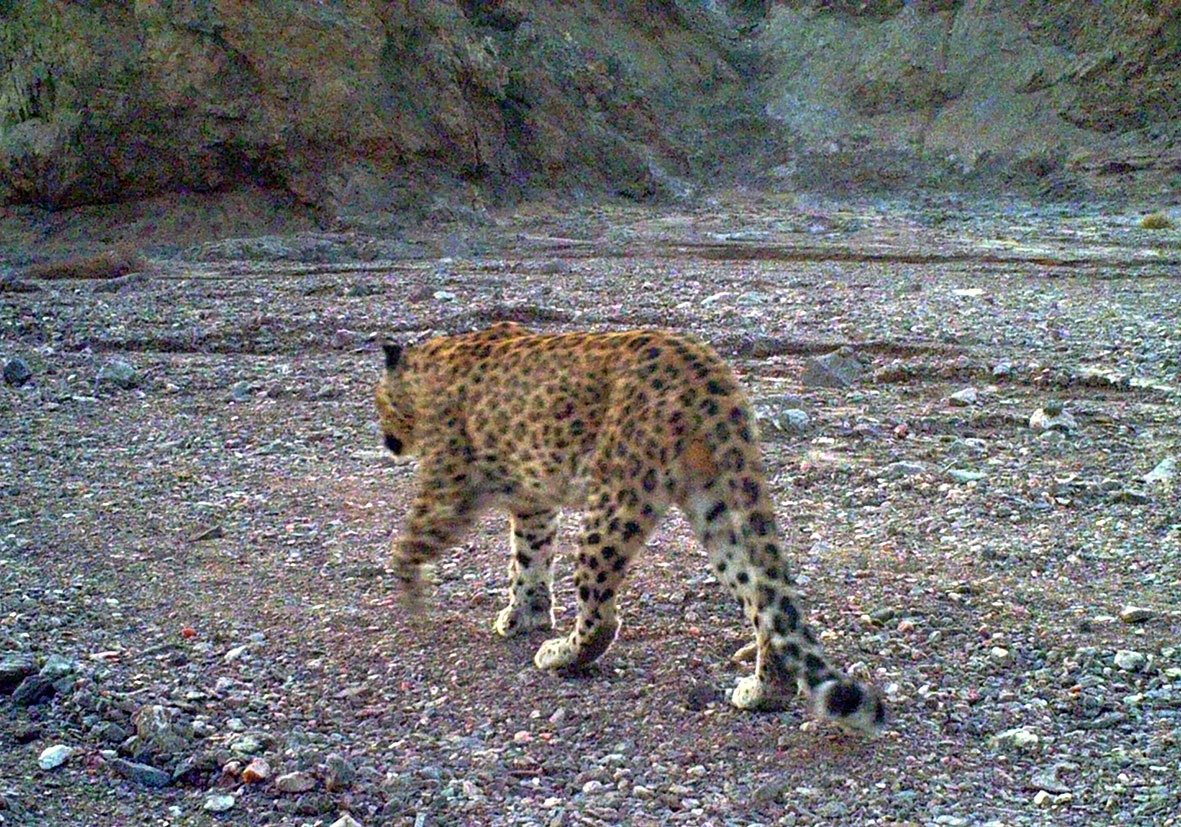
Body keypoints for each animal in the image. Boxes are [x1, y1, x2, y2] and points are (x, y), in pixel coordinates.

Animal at [377, 318, 888, 732]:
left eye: (377, 403)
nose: (387, 442)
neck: (427, 368)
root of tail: (706, 368)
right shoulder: (534, 502)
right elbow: (528, 559)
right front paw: (524, 615)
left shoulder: (448, 486)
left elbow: (411, 540)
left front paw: (411, 597)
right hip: (718, 505)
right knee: (764, 600)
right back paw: (763, 691)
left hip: (615, 499)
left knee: (601, 613)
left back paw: (563, 654)